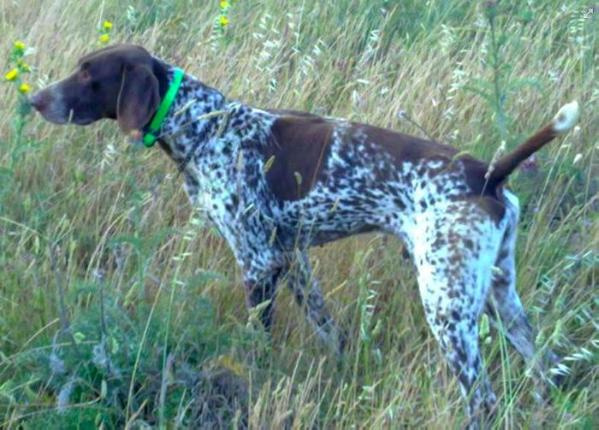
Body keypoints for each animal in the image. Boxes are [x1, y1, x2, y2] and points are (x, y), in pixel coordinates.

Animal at [31, 43, 580, 426]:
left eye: (89, 73)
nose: (34, 99)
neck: (205, 126)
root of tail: (487, 174)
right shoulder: (291, 258)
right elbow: (327, 327)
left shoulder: (256, 261)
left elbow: (258, 343)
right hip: (499, 296)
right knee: (544, 366)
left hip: (446, 302)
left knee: (482, 398)